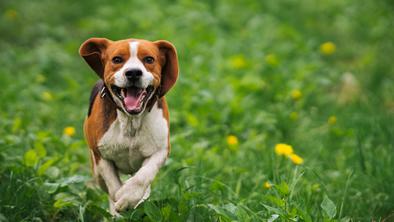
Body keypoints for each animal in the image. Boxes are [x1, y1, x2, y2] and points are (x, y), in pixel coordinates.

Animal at [78, 36, 179, 215]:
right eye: (117, 59)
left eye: (149, 59)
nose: (133, 73)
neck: (131, 120)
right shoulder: (100, 154)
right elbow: (112, 184)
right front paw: (120, 200)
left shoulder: (161, 150)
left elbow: (144, 176)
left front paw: (128, 197)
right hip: (96, 172)